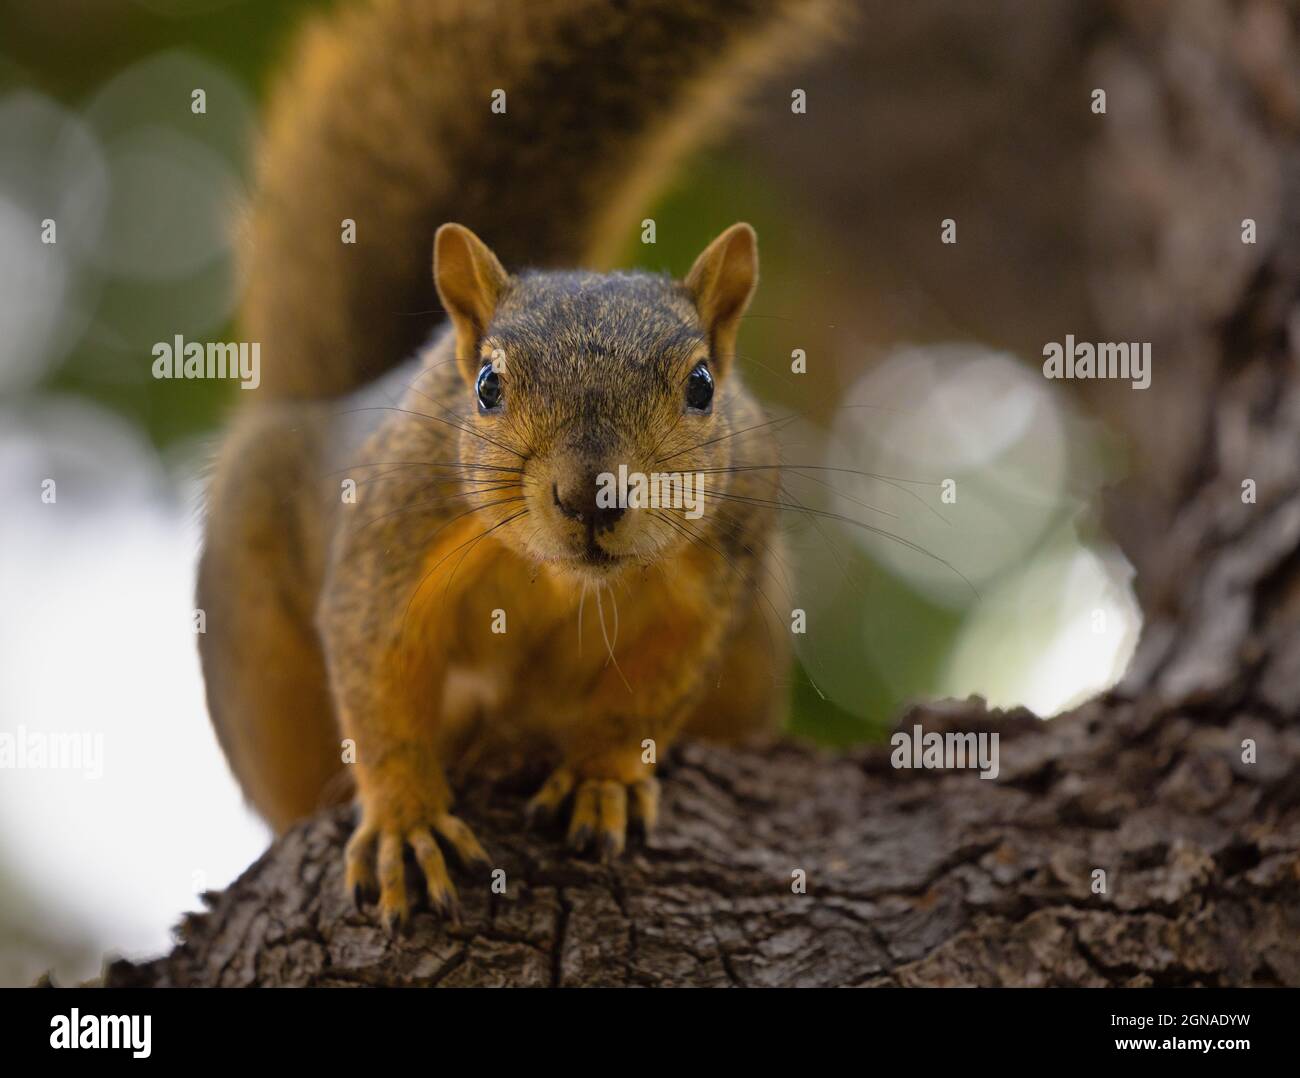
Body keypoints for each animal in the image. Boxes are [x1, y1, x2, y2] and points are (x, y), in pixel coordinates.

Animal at [198, 0, 838, 928]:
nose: (590, 495)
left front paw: (604, 777)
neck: (561, 582)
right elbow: (377, 675)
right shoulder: (394, 535)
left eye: (703, 385)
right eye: (489, 385)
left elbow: (648, 697)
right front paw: (406, 819)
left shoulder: (720, 574)